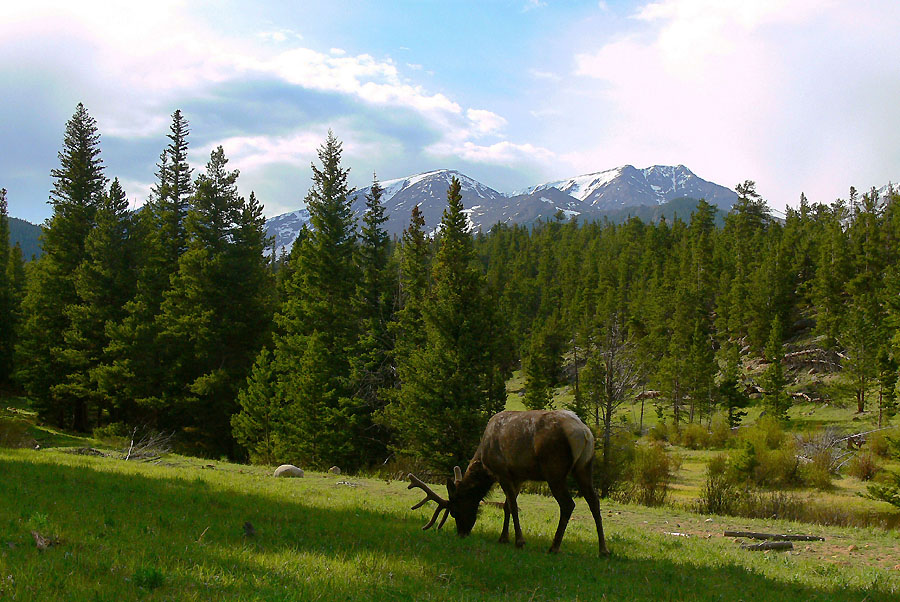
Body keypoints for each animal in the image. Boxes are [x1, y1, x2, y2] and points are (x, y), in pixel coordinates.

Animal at [410, 408, 608, 552]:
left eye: (454, 511)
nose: (462, 533)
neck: (484, 463)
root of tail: (585, 433)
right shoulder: (518, 476)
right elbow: (506, 506)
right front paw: (503, 538)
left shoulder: (502, 472)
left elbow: (513, 506)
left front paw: (519, 541)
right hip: (584, 467)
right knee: (594, 501)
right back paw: (603, 550)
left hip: (554, 470)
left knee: (568, 504)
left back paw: (554, 546)